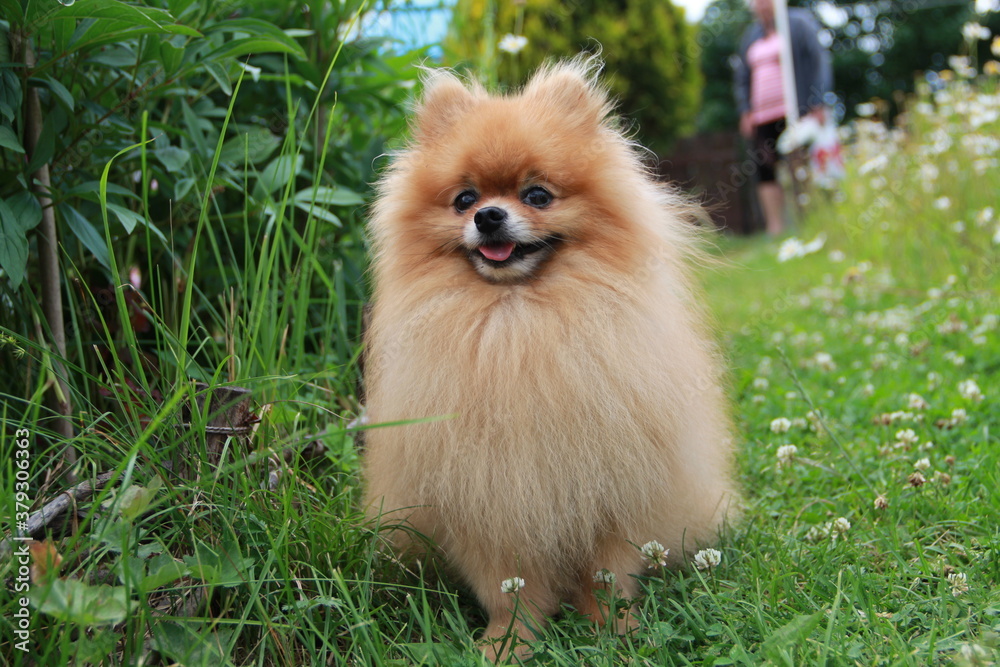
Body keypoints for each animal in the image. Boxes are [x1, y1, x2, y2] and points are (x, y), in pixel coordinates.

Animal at [364, 56, 740, 656]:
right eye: (464, 199)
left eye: (537, 195)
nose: (489, 216)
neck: (519, 322)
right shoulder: (485, 498)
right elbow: (509, 588)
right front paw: (506, 643)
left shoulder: (610, 488)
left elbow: (606, 575)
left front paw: (615, 630)